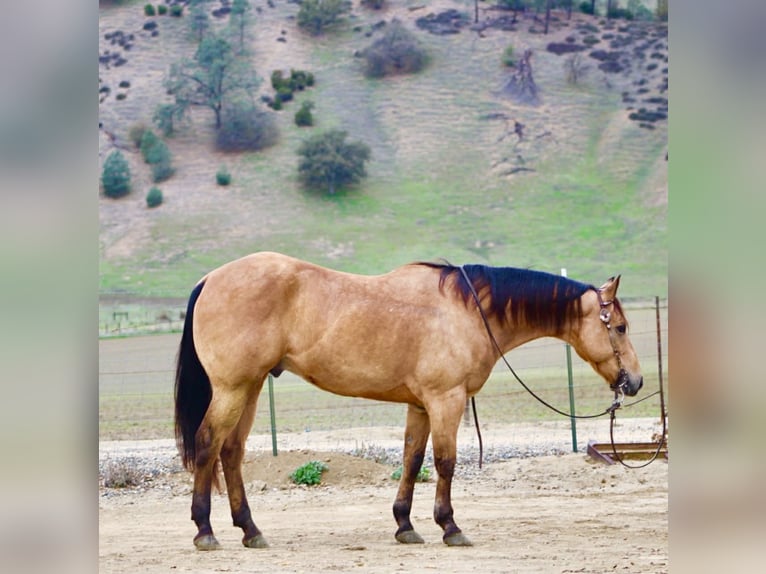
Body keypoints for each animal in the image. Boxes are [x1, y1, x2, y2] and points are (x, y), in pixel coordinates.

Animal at [174, 251, 642, 550]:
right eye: (619, 326)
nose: (635, 382)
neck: (466, 311)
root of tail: (210, 279)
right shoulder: (445, 400)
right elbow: (446, 463)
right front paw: (450, 526)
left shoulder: (420, 405)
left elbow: (412, 461)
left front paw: (405, 525)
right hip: (233, 388)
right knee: (209, 443)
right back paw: (205, 530)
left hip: (250, 388)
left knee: (231, 452)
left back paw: (250, 530)